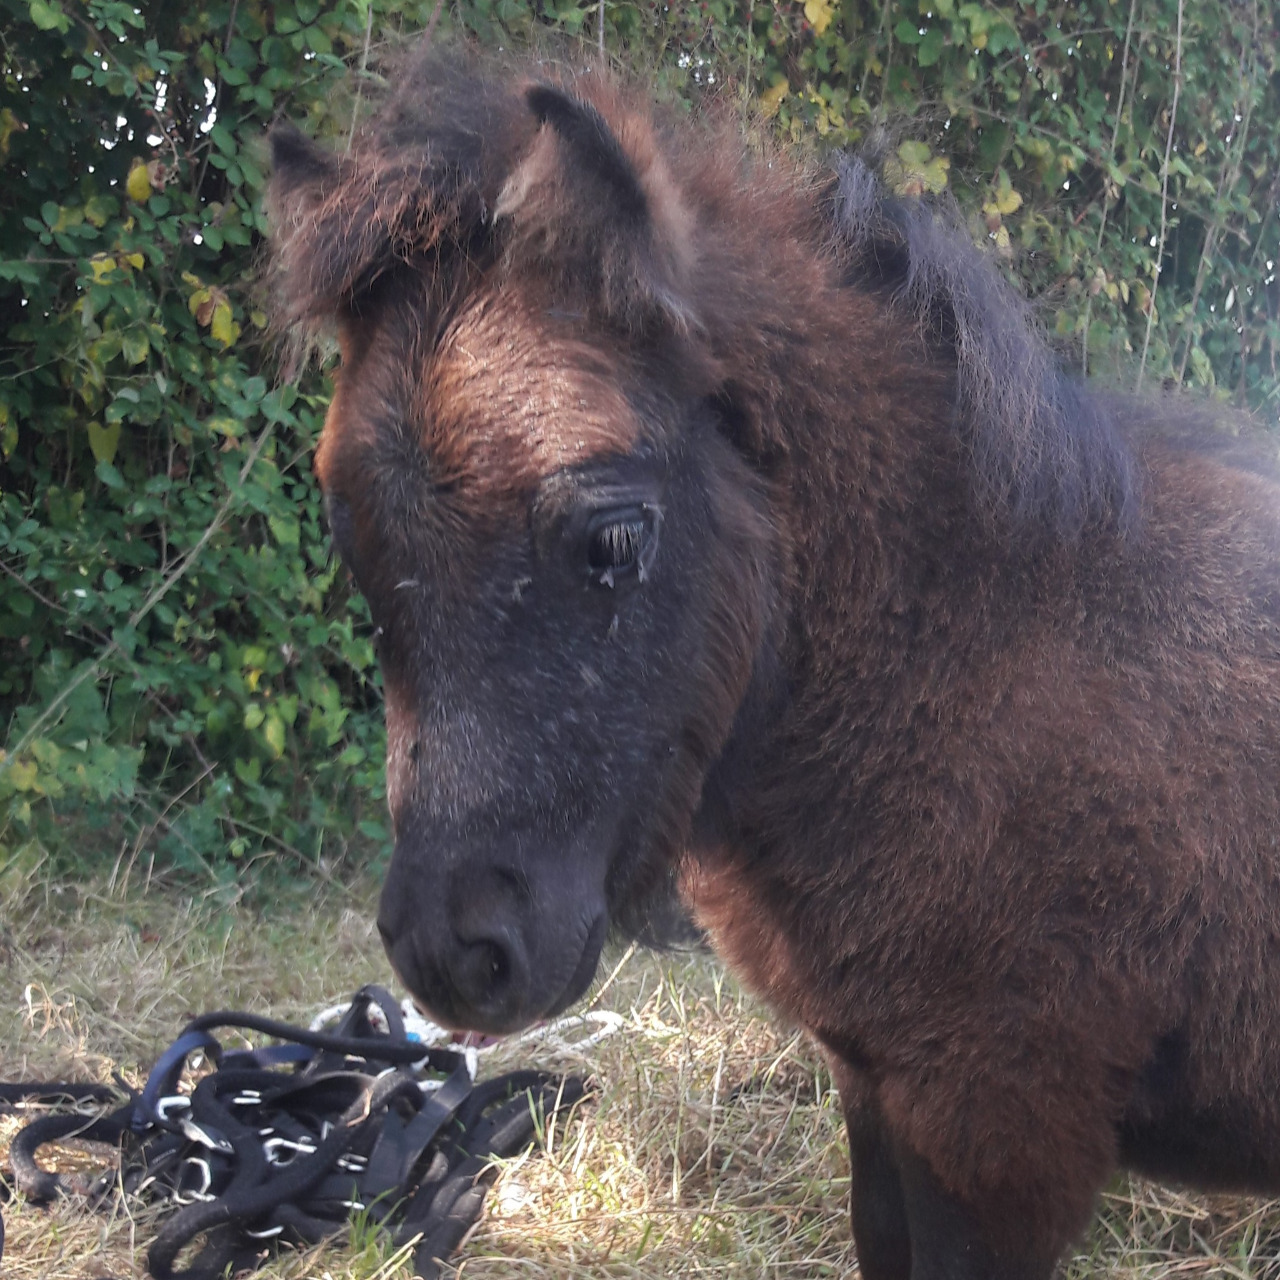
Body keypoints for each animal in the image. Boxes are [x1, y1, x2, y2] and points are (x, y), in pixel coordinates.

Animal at [270, 47, 1280, 1280]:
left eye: (613, 535)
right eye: (350, 542)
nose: (456, 951)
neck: (975, 660)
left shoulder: (992, 1133)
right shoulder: (880, 1092)